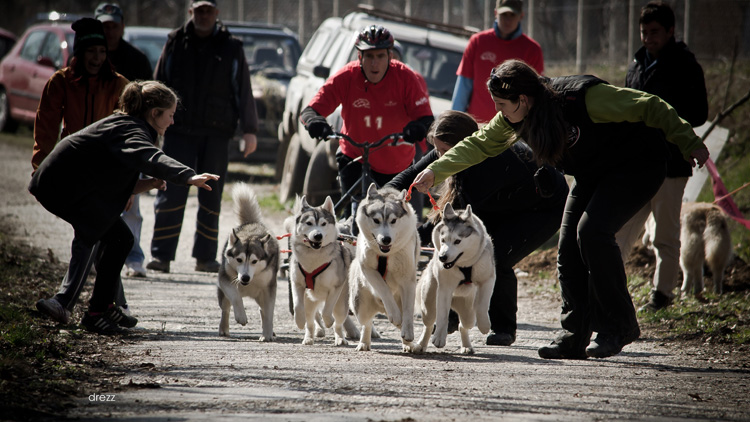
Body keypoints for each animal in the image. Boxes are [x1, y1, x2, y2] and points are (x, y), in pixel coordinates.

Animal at [219, 183, 280, 342]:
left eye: (254, 261)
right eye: (239, 259)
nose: (245, 278)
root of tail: (251, 222)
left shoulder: (269, 288)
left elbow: (269, 313)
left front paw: (266, 334)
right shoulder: (224, 279)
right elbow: (235, 297)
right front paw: (241, 316)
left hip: (261, 295)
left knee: (262, 310)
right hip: (223, 294)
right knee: (225, 308)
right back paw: (223, 328)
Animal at [288, 196, 362, 344]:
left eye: (323, 223)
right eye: (309, 223)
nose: (318, 236)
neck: (314, 258)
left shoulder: (336, 287)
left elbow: (327, 312)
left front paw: (328, 322)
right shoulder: (296, 283)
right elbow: (298, 307)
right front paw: (299, 321)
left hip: (341, 304)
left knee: (338, 322)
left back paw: (340, 338)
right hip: (310, 302)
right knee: (310, 321)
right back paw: (308, 337)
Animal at [350, 185, 420, 352]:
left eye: (393, 220)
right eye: (376, 220)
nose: (386, 239)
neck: (385, 254)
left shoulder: (408, 279)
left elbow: (408, 310)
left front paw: (408, 331)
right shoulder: (368, 269)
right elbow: (384, 289)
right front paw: (394, 313)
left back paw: (408, 343)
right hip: (360, 306)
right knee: (367, 323)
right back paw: (364, 342)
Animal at [414, 203, 496, 354]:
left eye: (458, 241)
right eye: (443, 240)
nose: (442, 257)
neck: (464, 265)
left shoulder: (488, 279)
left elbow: (483, 305)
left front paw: (484, 325)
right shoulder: (444, 288)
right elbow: (442, 315)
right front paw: (439, 338)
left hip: (468, 312)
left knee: (463, 325)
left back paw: (467, 346)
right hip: (428, 305)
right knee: (429, 324)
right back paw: (421, 344)